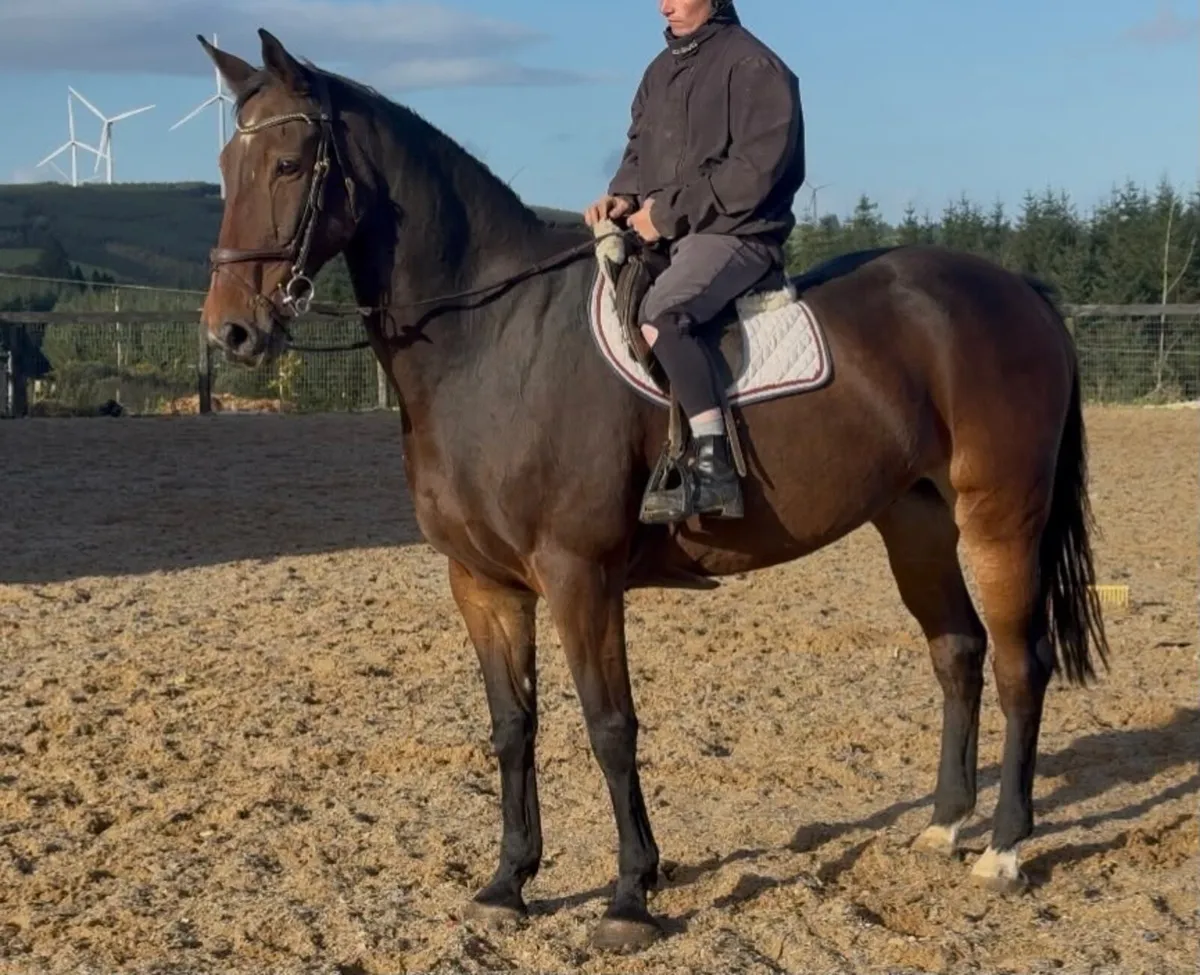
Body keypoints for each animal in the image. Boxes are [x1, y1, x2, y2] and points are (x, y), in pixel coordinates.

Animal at [195, 29, 1110, 952]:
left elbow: (610, 725)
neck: (492, 341)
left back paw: (1003, 851)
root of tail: (1018, 290)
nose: (231, 330)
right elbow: (511, 724)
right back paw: (944, 825)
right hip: (913, 523)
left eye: (289, 163)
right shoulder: (482, 582)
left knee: (1018, 664)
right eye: (227, 166)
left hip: (1000, 518)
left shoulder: (580, 574)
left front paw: (631, 894)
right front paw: (507, 884)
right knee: (956, 650)